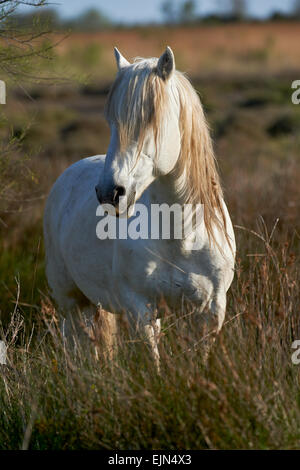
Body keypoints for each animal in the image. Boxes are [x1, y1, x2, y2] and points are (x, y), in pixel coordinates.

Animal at [43, 46, 236, 366]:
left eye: (150, 118)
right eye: (111, 122)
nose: (110, 193)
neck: (181, 236)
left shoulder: (209, 312)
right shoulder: (140, 309)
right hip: (71, 302)